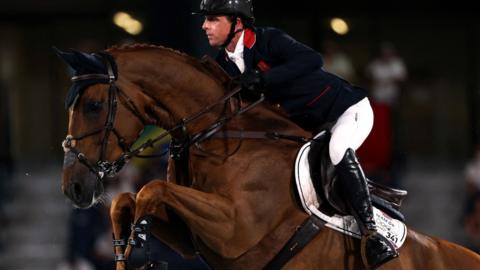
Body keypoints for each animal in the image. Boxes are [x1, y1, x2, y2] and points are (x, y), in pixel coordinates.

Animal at [57, 45, 480, 268]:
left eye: (93, 105)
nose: (74, 188)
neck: (220, 133)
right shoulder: (193, 238)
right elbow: (129, 200)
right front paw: (127, 246)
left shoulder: (235, 228)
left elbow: (152, 190)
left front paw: (137, 244)